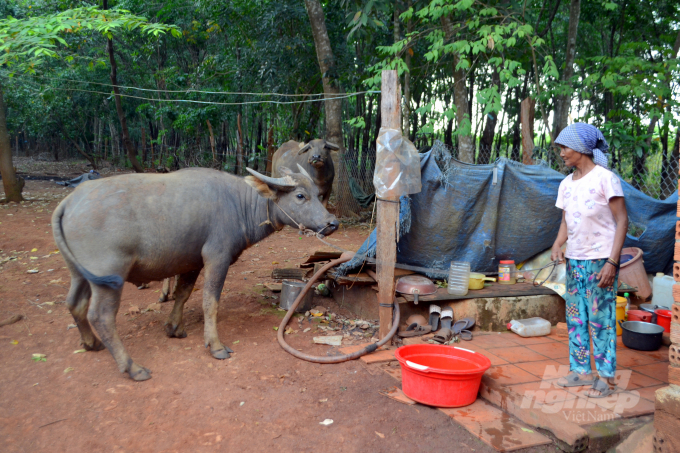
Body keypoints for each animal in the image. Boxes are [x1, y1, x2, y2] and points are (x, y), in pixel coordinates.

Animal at [51, 165, 338, 378]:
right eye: (300, 196)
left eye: (317, 192)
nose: (332, 223)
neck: (239, 204)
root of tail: (70, 201)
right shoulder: (217, 258)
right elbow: (210, 301)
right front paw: (215, 345)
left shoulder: (191, 263)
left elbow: (183, 293)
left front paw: (174, 328)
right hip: (109, 278)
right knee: (101, 316)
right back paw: (132, 367)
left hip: (79, 274)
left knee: (75, 304)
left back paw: (91, 343)